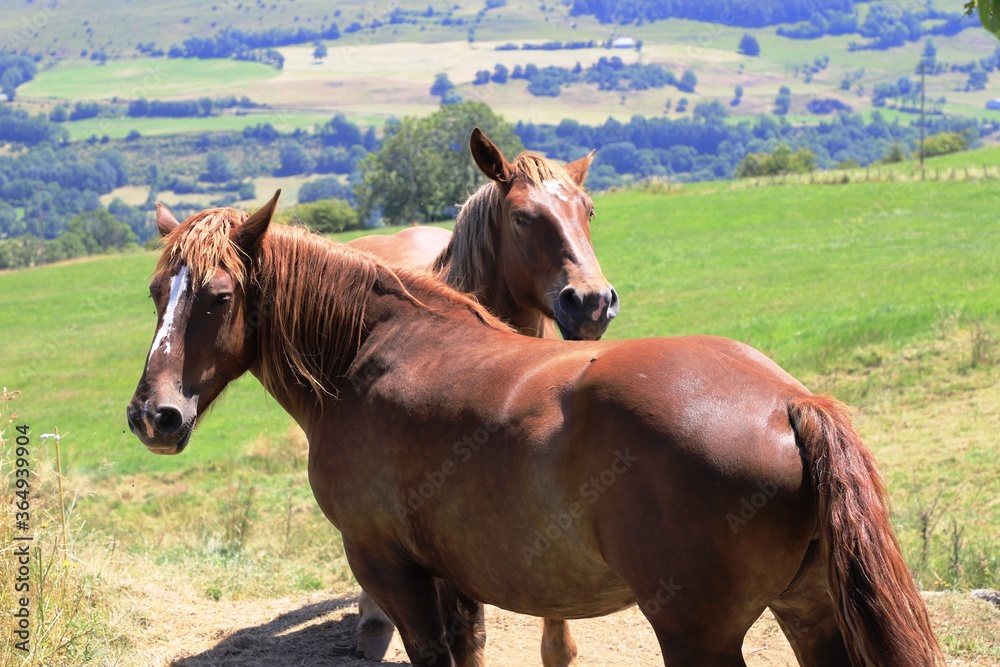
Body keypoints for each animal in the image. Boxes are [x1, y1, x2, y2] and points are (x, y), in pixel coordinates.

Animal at [128, 193, 942, 667]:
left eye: (218, 297)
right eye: (156, 291)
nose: (153, 415)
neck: (378, 351)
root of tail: (787, 400)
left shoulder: (392, 569)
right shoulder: (456, 579)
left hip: (699, 636)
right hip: (809, 612)